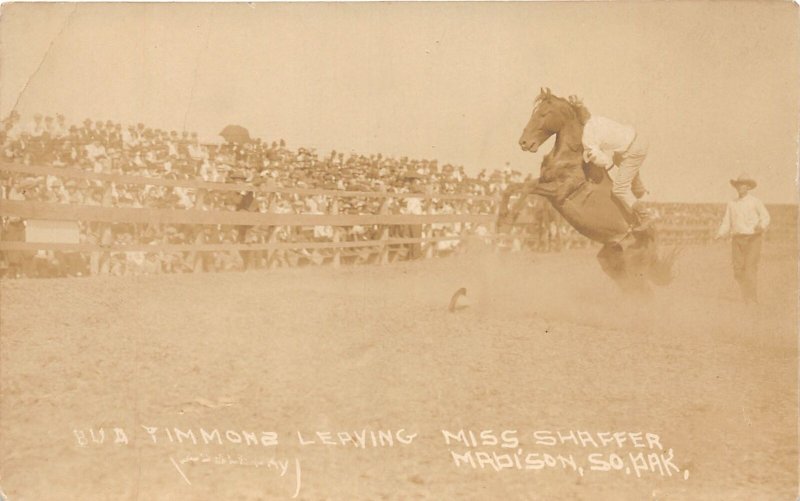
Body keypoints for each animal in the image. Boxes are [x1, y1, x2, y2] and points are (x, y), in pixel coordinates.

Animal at [500, 88, 676, 294]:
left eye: (543, 113)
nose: (524, 143)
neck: (570, 154)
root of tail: (653, 242)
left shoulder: (559, 192)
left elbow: (526, 188)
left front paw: (507, 223)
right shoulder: (544, 182)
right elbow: (512, 187)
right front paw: (499, 220)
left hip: (631, 265)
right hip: (611, 261)